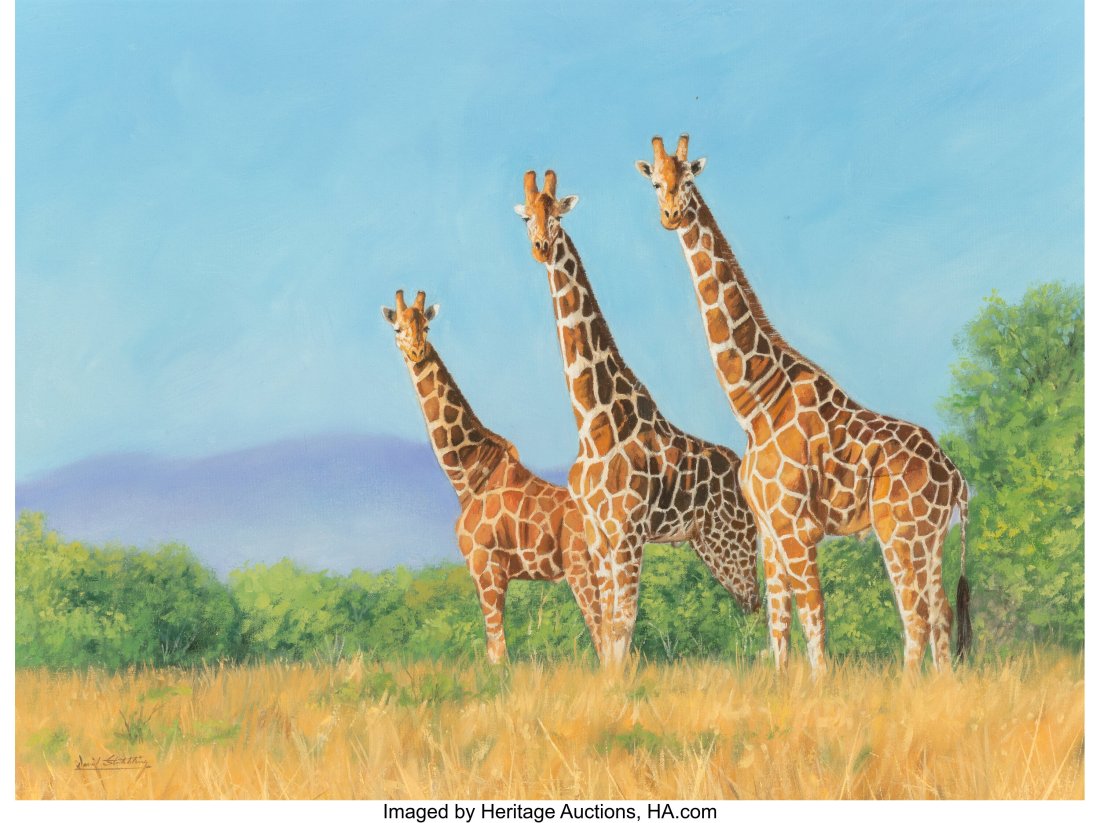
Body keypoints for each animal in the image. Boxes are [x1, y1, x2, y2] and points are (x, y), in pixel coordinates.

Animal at [382, 289, 603, 663]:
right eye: (398, 328)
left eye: (426, 326)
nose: (416, 352)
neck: (469, 477)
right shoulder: (491, 571)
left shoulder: (485, 566)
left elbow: (497, 652)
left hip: (582, 570)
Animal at [514, 169, 761, 666]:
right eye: (527, 216)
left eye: (558, 215)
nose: (541, 247)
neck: (594, 422)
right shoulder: (599, 535)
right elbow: (608, 624)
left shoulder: (628, 532)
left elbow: (623, 623)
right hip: (708, 545)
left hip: (736, 542)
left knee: (764, 605)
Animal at [636, 134, 972, 673]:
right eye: (654, 182)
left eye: (687, 178)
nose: (670, 213)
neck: (755, 402)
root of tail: (957, 478)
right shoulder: (771, 532)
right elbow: (779, 626)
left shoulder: (797, 529)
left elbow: (815, 622)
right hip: (930, 536)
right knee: (939, 614)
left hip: (899, 532)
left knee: (916, 617)